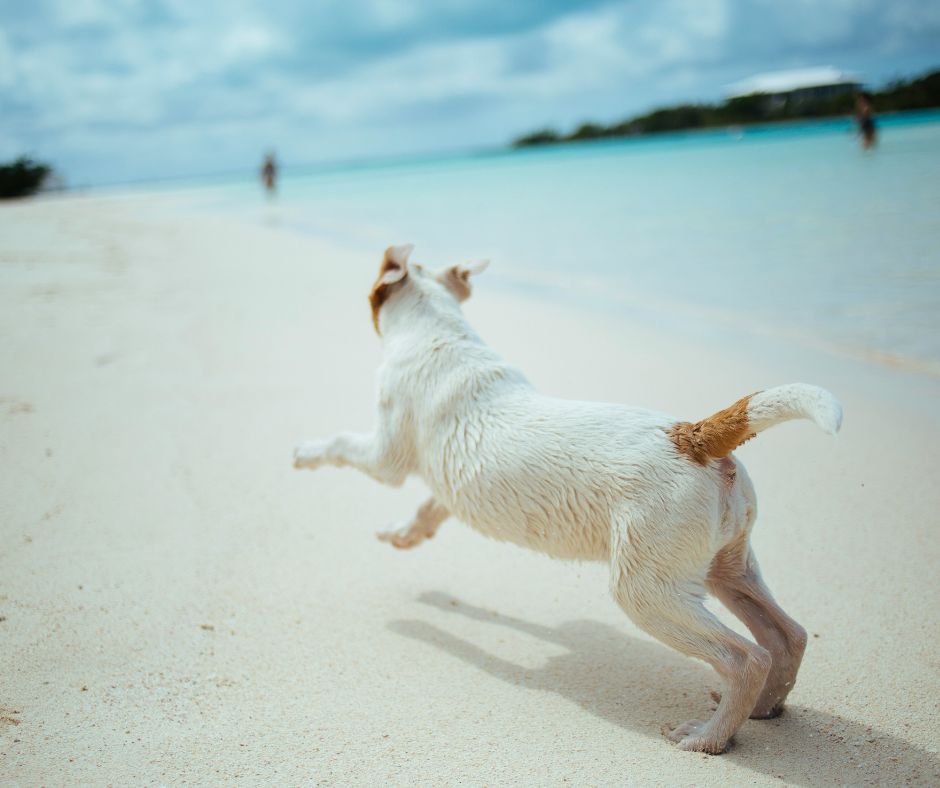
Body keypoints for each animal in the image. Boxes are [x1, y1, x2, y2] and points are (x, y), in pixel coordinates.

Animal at [296, 243, 844, 756]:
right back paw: (765, 708)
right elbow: (430, 507)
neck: (440, 333)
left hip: (648, 590)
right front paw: (404, 535)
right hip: (726, 568)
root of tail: (692, 436)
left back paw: (708, 737)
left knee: (744, 657)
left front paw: (304, 453)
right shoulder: (447, 481)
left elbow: (342, 445)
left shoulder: (385, 456)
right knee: (787, 636)